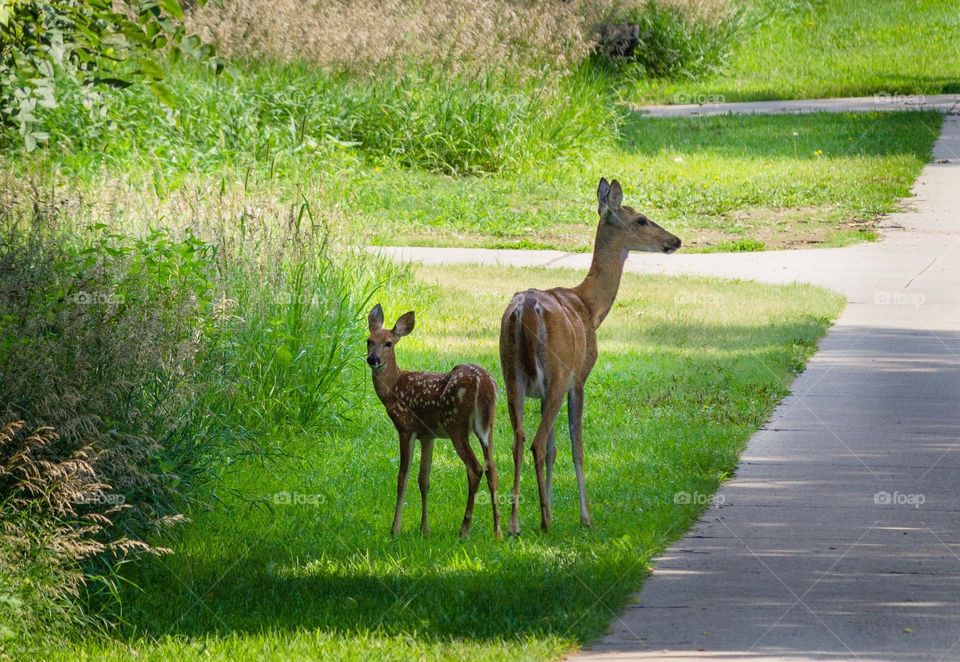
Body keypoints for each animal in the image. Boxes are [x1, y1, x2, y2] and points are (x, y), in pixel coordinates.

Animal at [366, 306, 502, 540]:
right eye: (369, 340)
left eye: (388, 343)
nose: (372, 359)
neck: (393, 389)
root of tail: (484, 382)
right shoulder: (428, 435)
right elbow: (424, 480)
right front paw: (425, 529)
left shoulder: (406, 426)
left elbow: (402, 478)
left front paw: (395, 529)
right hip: (487, 426)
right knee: (491, 468)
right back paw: (499, 531)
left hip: (456, 425)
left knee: (475, 468)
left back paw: (464, 529)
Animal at [502, 179, 684, 536]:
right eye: (641, 219)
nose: (675, 240)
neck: (590, 306)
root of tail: (525, 309)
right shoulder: (579, 378)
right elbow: (576, 447)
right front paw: (584, 517)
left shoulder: (540, 390)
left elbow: (557, 449)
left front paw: (552, 508)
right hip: (557, 374)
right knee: (536, 442)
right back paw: (544, 522)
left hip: (510, 377)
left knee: (519, 440)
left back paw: (515, 524)